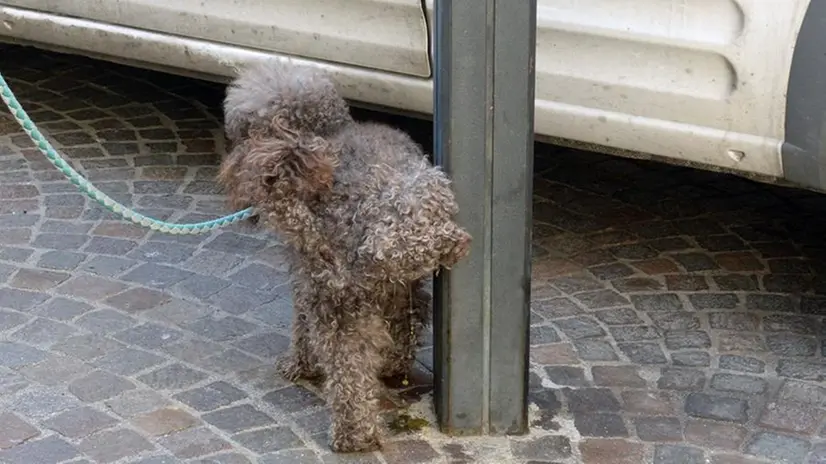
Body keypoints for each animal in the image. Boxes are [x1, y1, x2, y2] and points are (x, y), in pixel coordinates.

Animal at [216, 61, 470, 454]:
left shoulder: (313, 284)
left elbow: (304, 326)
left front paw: (300, 363)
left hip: (341, 298)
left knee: (347, 363)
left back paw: (353, 429)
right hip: (362, 290)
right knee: (367, 353)